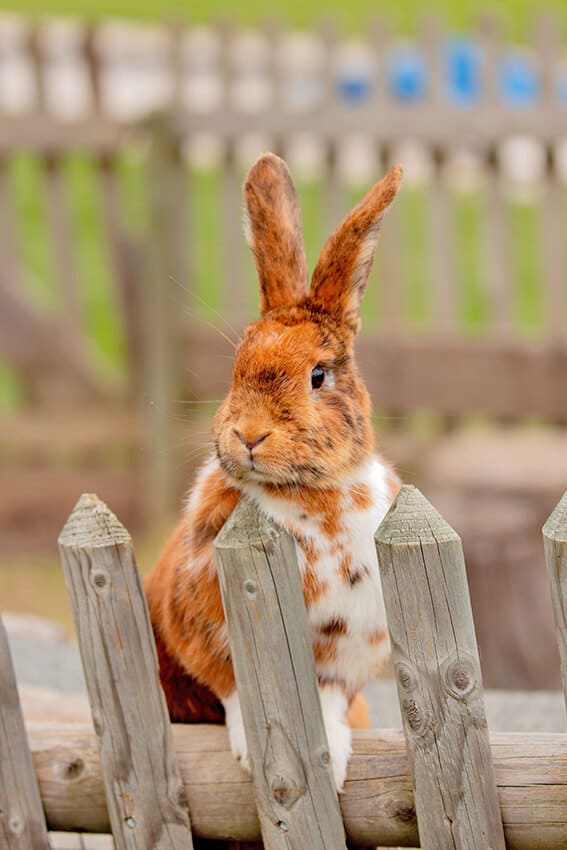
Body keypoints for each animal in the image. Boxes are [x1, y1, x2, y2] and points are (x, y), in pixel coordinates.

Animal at [146, 151, 404, 788]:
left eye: (318, 376)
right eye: (236, 365)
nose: (249, 434)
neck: (308, 497)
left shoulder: (349, 646)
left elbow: (331, 698)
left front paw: (333, 758)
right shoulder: (203, 630)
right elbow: (236, 691)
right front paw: (247, 752)